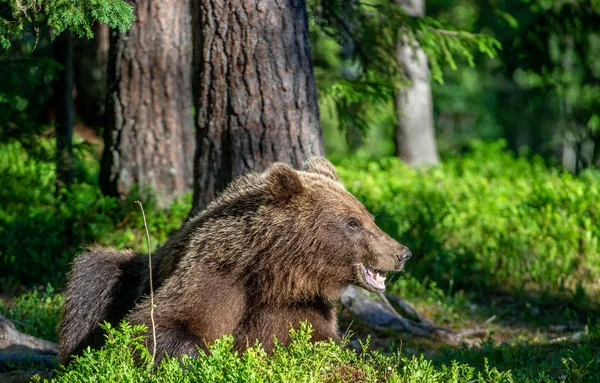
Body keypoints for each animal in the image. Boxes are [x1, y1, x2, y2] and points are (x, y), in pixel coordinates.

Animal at [58, 158, 410, 364]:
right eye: (353, 223)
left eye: (368, 217)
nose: (402, 252)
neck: (273, 273)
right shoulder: (216, 275)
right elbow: (154, 324)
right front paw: (205, 356)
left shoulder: (297, 306)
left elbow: (316, 341)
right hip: (125, 272)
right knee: (92, 278)